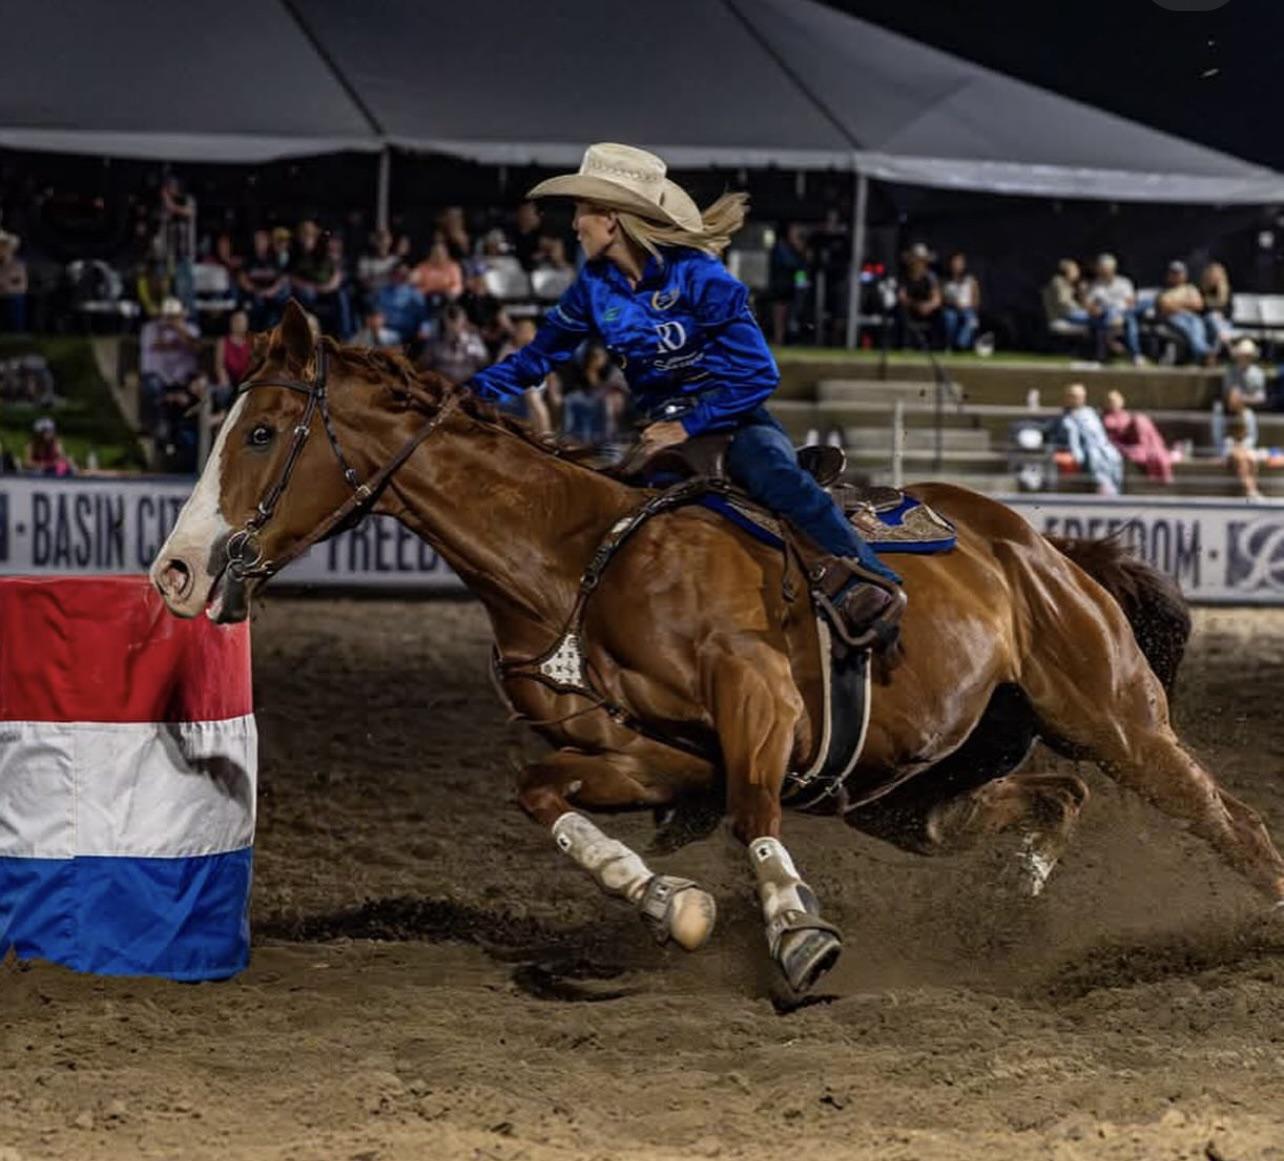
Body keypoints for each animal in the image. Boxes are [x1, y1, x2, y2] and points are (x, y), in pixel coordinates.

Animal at [150, 302, 1284, 994]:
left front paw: (794, 930)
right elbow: (543, 794)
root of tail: (1045, 548)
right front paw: (672, 904)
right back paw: (1017, 899)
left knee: (1229, 822)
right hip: (914, 799)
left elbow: (751, 811)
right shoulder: (649, 757)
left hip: (1114, 717)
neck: (575, 559)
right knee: (1058, 794)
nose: (174, 571)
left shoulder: (758, 699)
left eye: (262, 434)